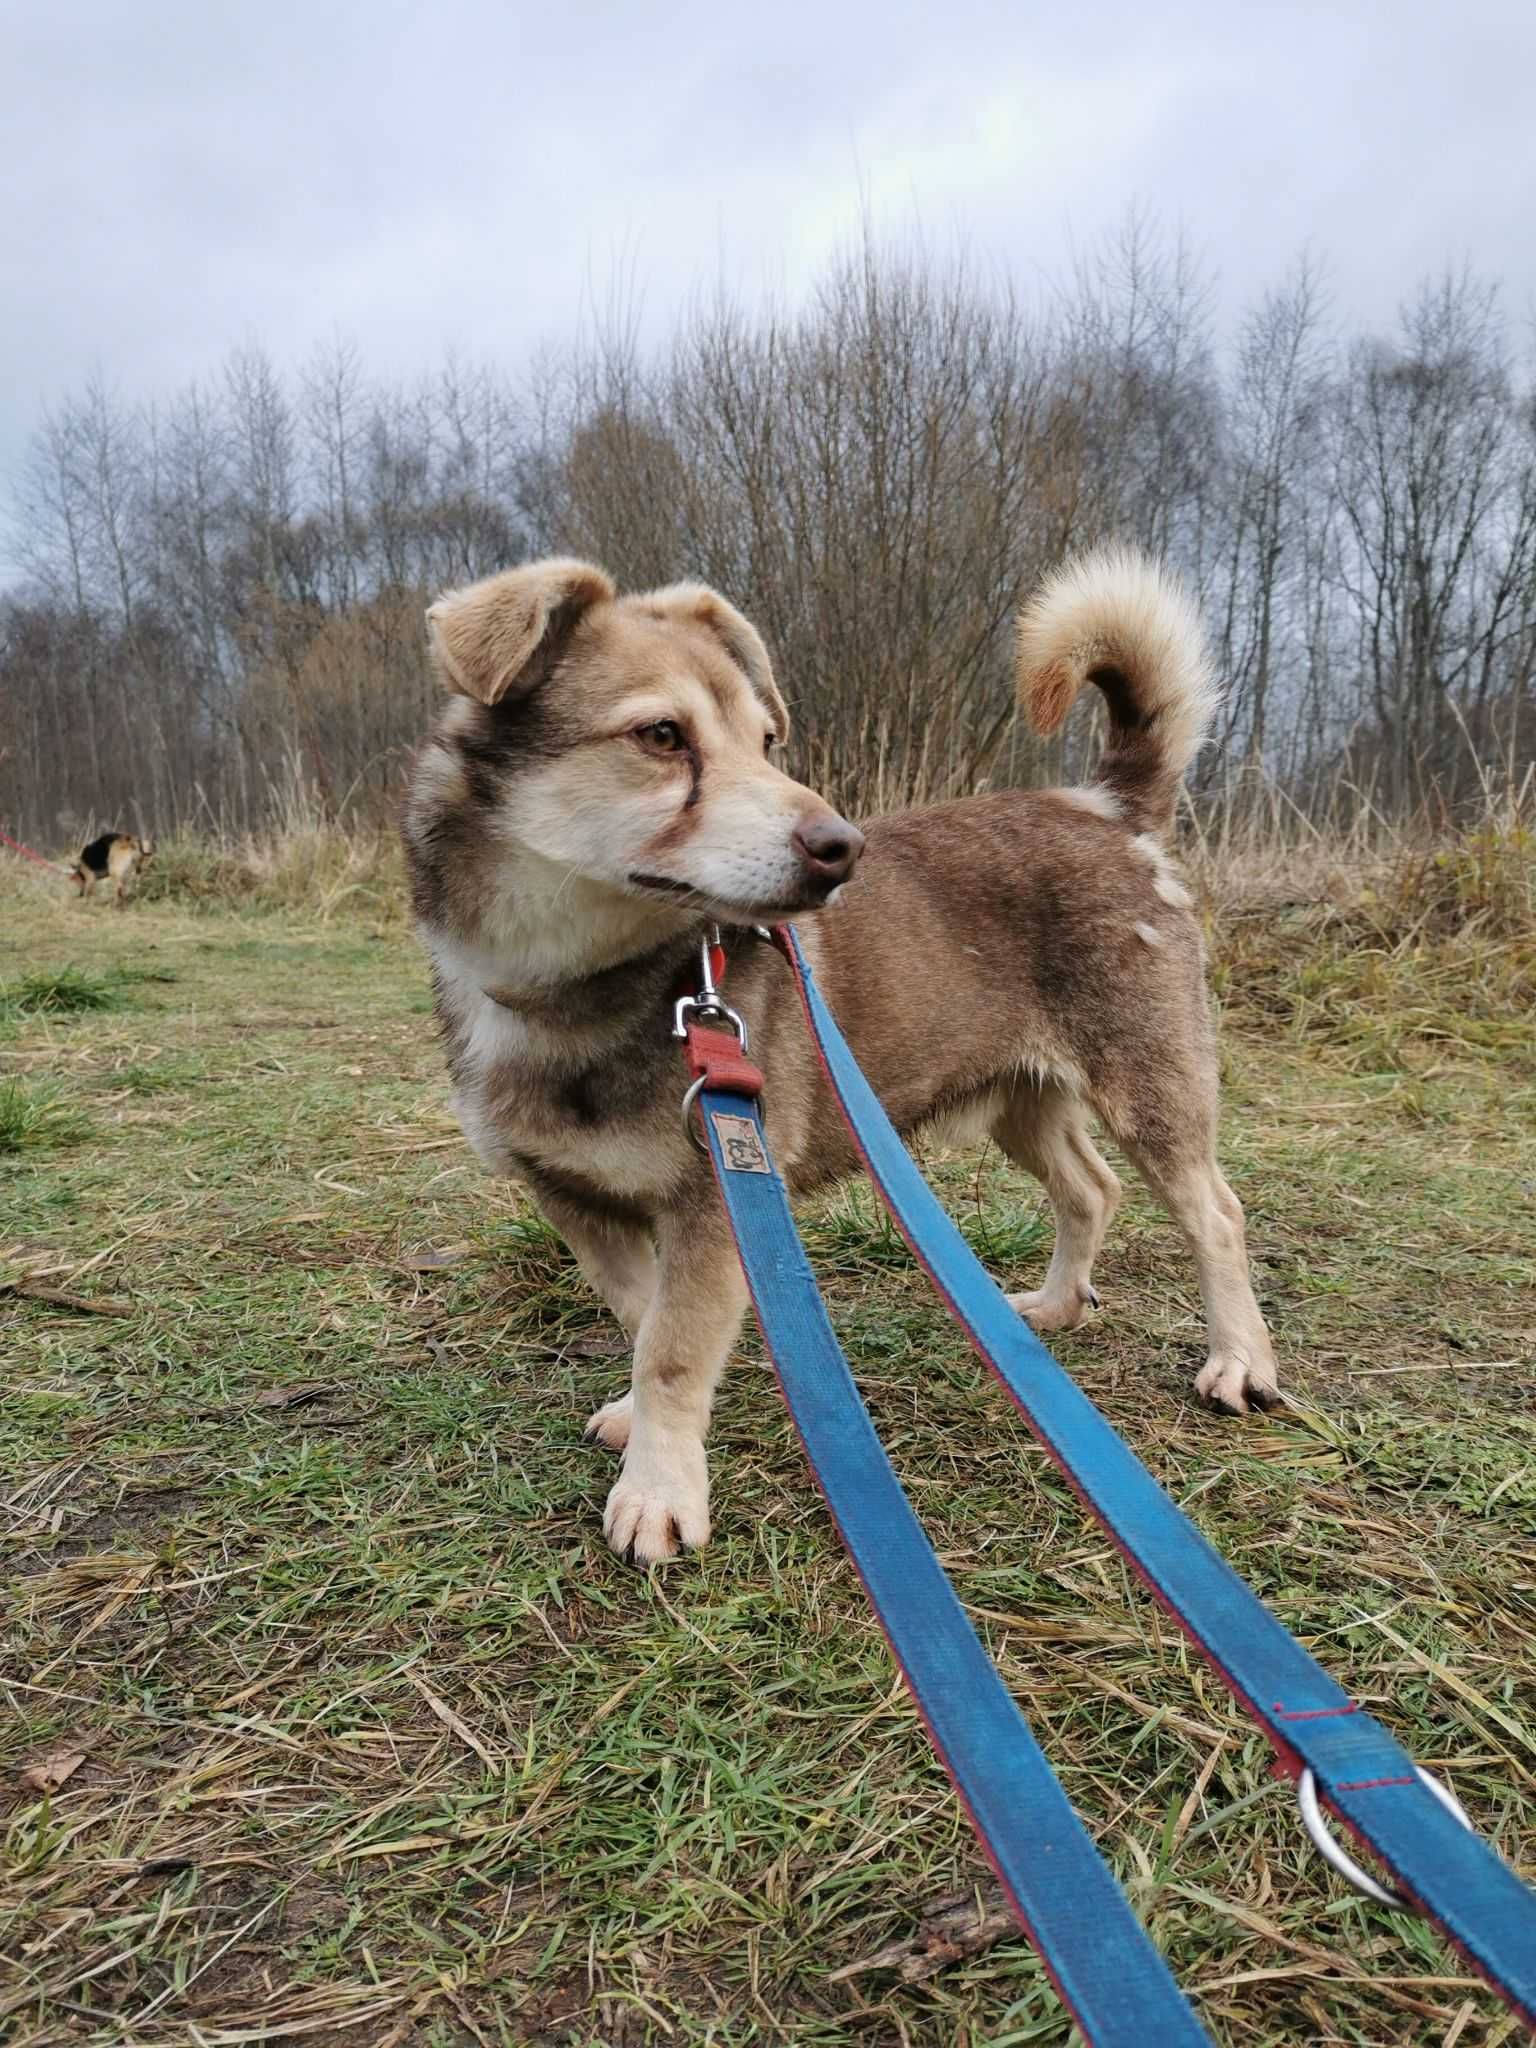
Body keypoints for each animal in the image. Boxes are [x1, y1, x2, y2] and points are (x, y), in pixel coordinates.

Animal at [403, 552, 1277, 1556]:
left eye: (765, 740)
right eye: (662, 735)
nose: (842, 847)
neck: (573, 988)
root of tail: (1106, 808)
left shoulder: (716, 1195)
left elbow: (671, 1349)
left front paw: (660, 1488)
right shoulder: (572, 1199)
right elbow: (641, 1316)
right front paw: (638, 1417)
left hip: (1150, 1086)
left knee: (1216, 1215)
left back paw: (1239, 1361)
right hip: (1022, 1101)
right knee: (1090, 1190)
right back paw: (1055, 1307)